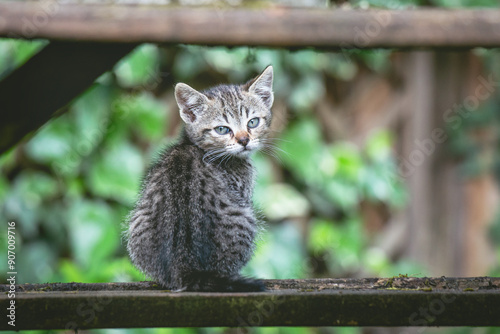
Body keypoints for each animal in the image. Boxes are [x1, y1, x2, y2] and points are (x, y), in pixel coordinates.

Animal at [125, 66, 274, 292]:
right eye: (222, 129)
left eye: (253, 122)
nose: (244, 140)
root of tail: (186, 265)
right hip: (246, 216)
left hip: (138, 221)